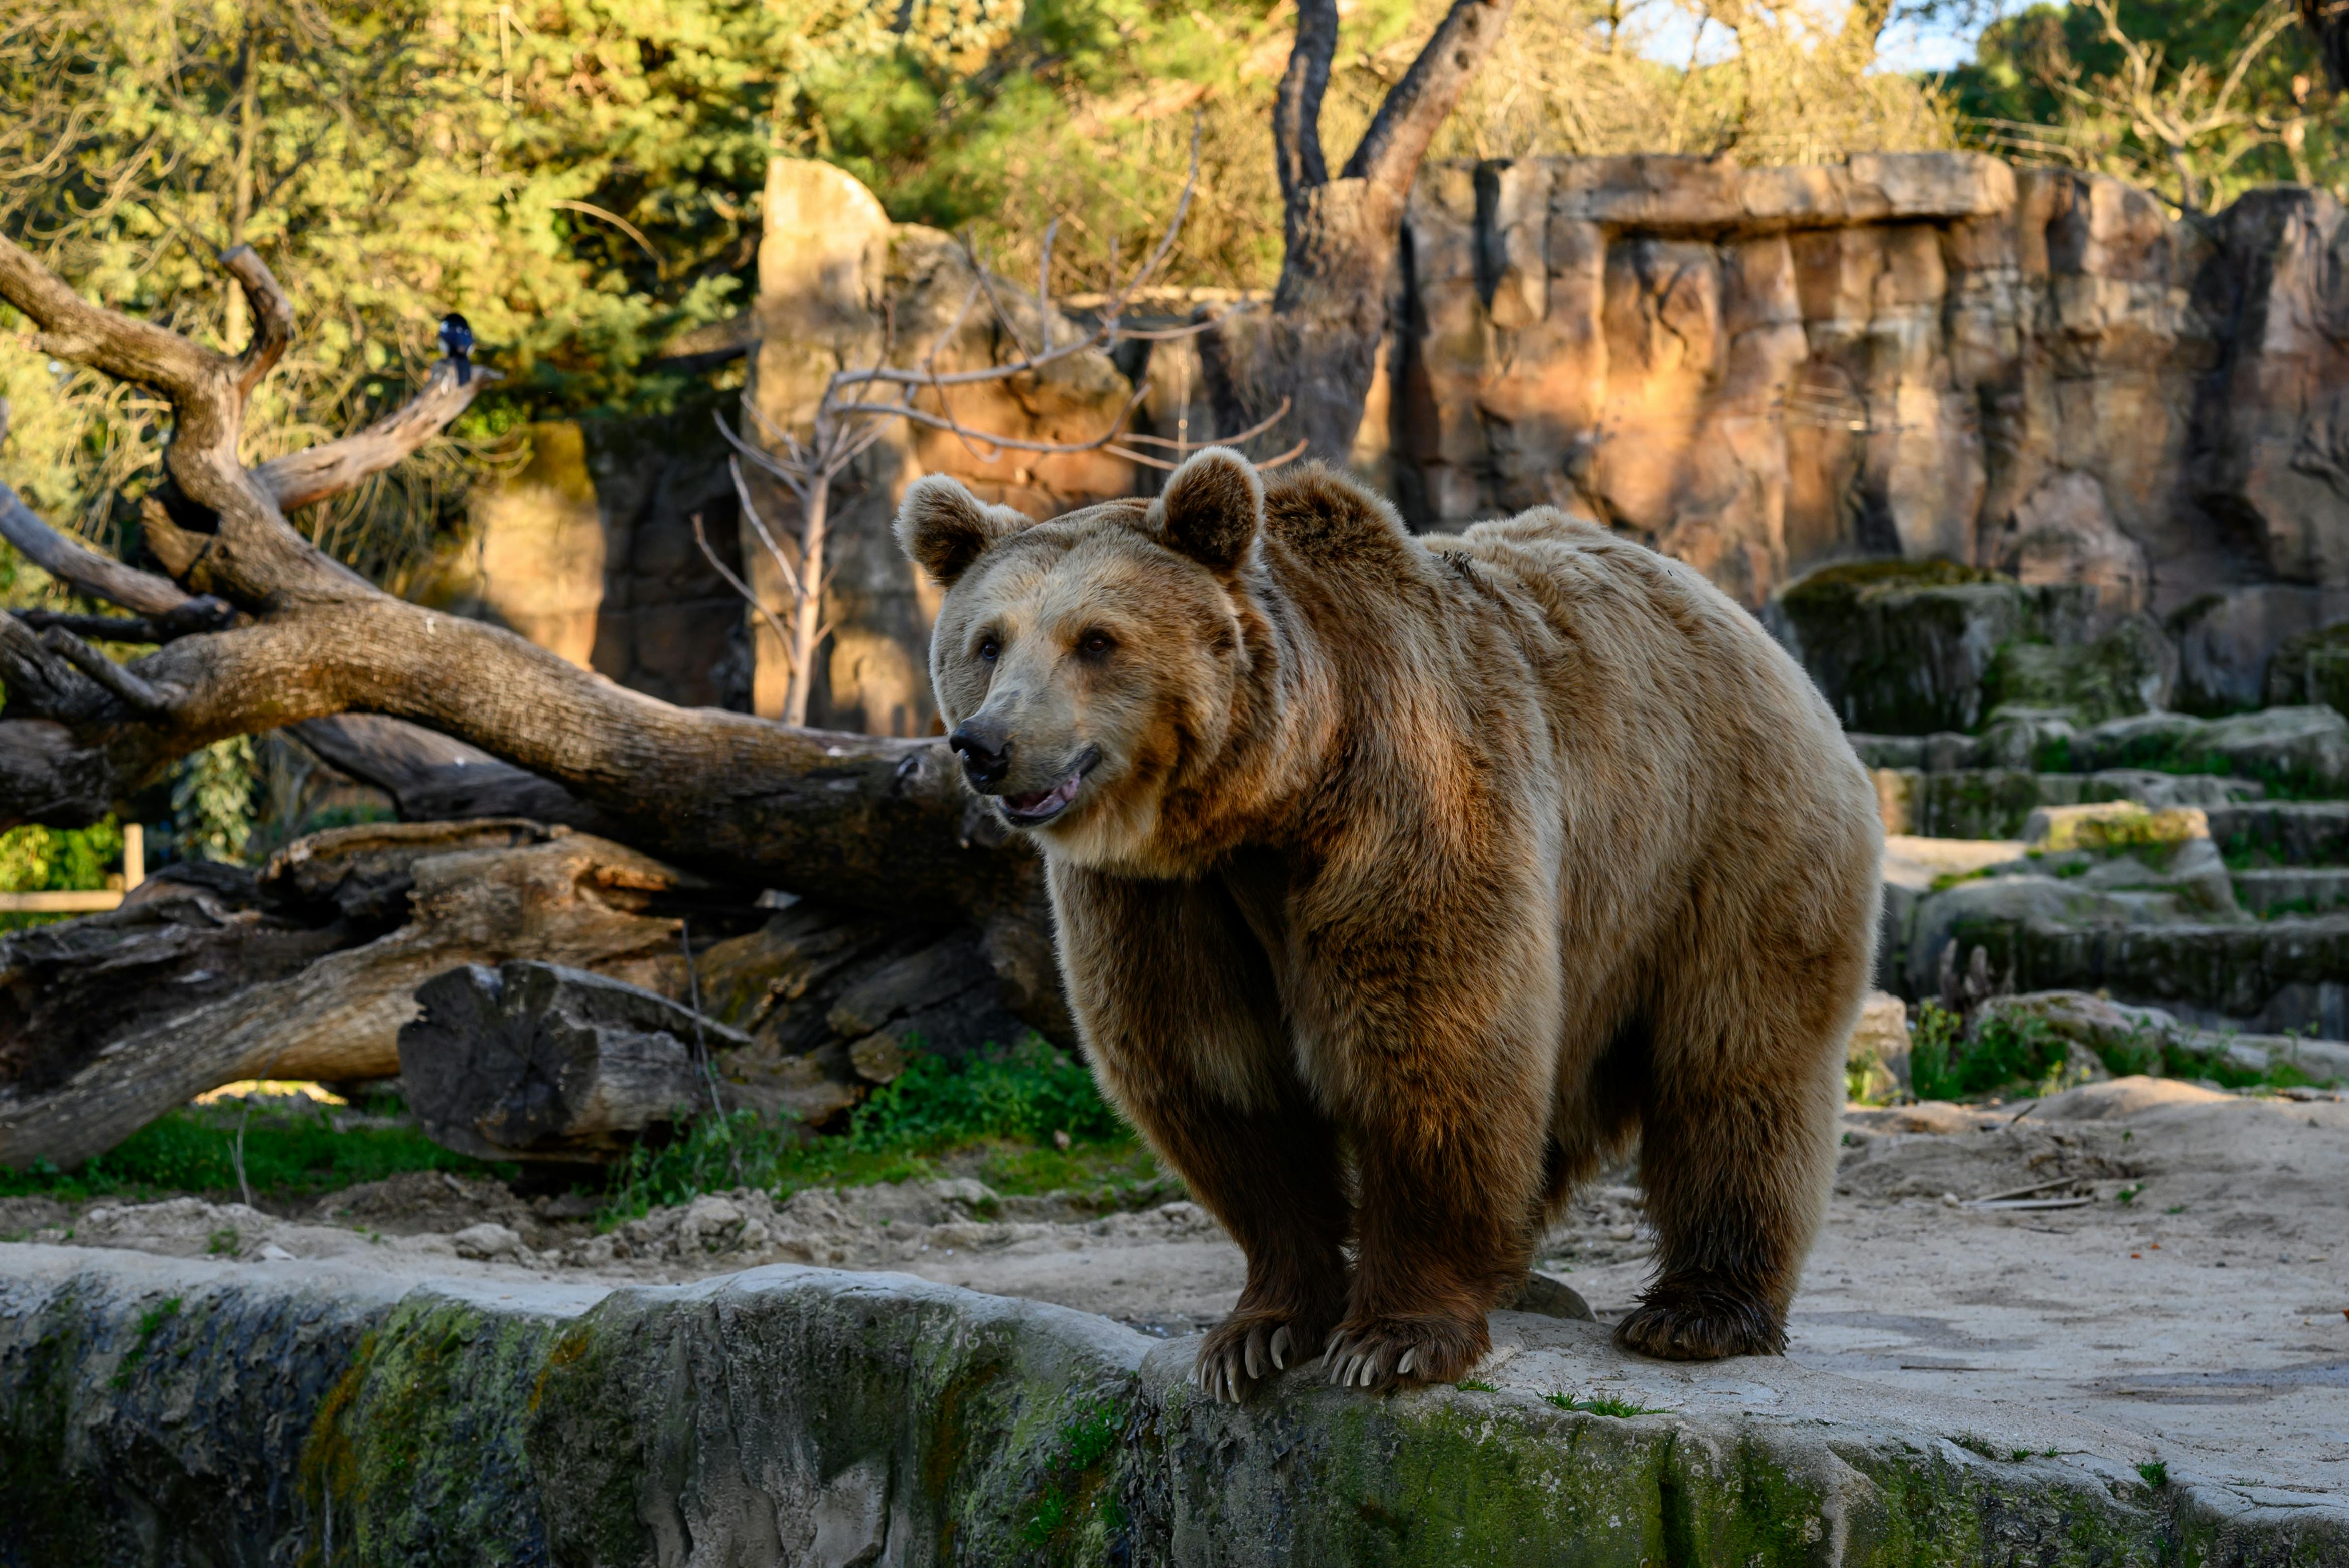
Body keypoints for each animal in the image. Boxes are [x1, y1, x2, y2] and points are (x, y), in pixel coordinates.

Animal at [895, 447, 1881, 1400]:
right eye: (987, 642)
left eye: (1096, 639)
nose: (986, 746)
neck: (1262, 804)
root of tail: (1731, 611)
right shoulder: (1161, 900)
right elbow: (1217, 1076)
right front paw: (1255, 1336)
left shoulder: (1403, 810)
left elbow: (1431, 1054)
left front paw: (1391, 1340)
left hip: (1721, 839)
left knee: (1735, 1062)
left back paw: (1697, 1311)